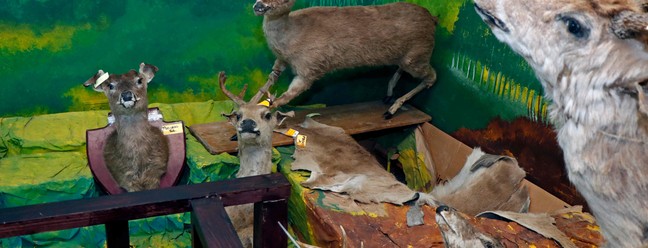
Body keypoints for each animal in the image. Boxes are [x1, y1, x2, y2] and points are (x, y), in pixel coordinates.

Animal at [253, 0, 440, 118]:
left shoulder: (309, 69)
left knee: (432, 77)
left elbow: (289, 94)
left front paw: (269, 106)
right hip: (407, 57)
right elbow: (271, 77)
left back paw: (392, 109)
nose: (258, 5)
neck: (291, 32)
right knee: (404, 69)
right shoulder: (282, 60)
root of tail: (432, 18)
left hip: (418, 57)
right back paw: (388, 95)